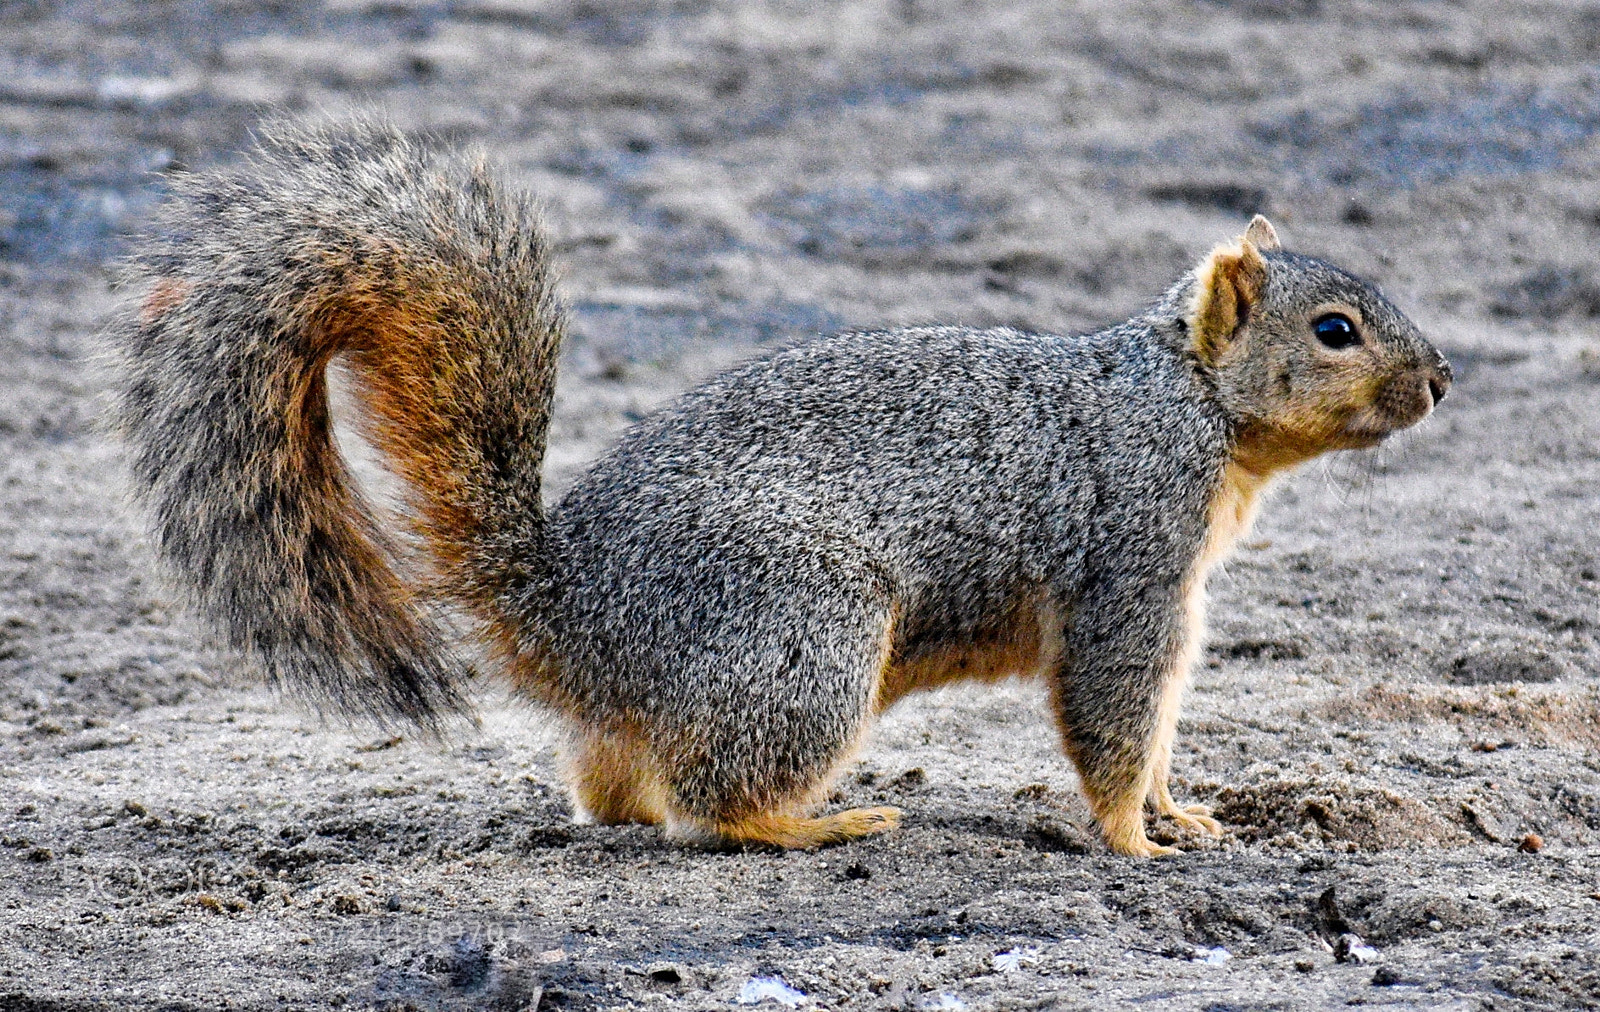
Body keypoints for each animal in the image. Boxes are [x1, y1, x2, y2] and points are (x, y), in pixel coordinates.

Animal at [111, 119, 1451, 857]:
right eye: (1335, 329)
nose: (1439, 379)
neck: (1190, 401)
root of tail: (565, 606)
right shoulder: (1131, 563)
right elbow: (1116, 716)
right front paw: (1136, 842)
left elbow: (1161, 726)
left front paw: (1190, 815)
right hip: (804, 629)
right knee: (709, 805)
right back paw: (824, 820)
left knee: (616, 791)